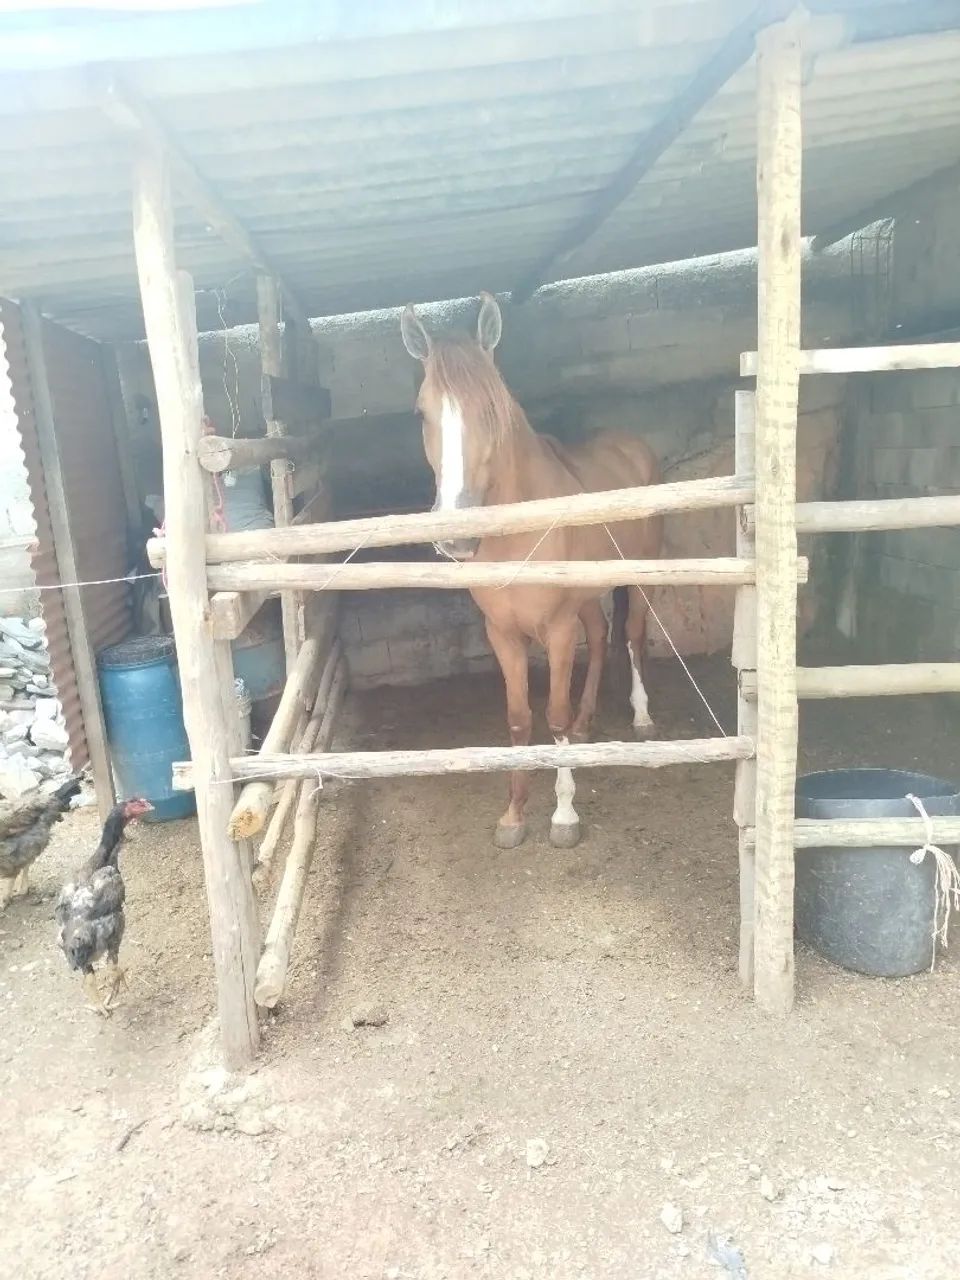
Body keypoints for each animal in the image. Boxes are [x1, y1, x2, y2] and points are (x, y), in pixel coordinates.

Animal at [401, 293, 662, 850]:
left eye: (492, 408)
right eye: (421, 413)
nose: (457, 534)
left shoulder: (557, 631)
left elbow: (553, 716)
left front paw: (563, 816)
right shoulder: (502, 634)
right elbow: (520, 720)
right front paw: (514, 815)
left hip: (643, 575)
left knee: (632, 635)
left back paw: (642, 717)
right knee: (601, 634)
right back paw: (588, 723)